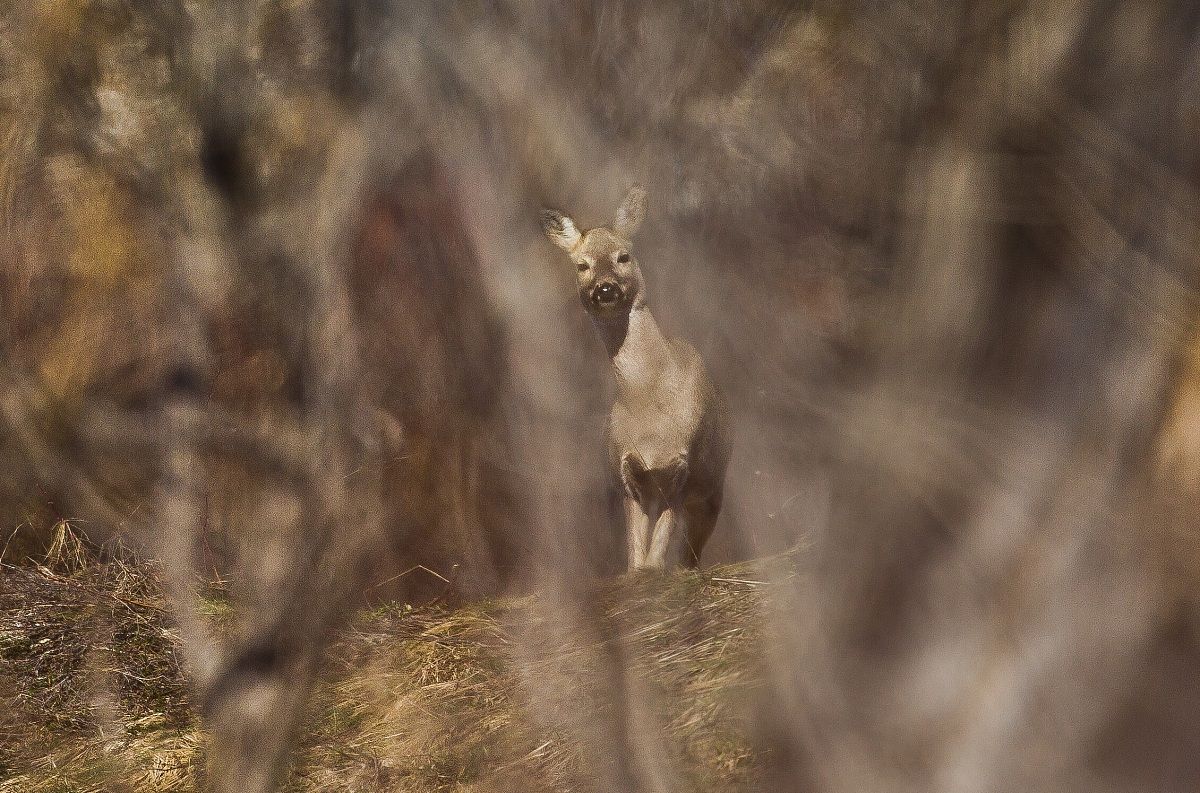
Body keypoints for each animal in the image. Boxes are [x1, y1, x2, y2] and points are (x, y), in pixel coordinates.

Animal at [541, 186, 732, 571]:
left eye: (623, 256)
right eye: (581, 265)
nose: (604, 288)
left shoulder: (683, 465)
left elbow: (661, 542)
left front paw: (657, 570)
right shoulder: (626, 471)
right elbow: (636, 548)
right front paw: (637, 572)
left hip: (714, 486)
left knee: (691, 550)